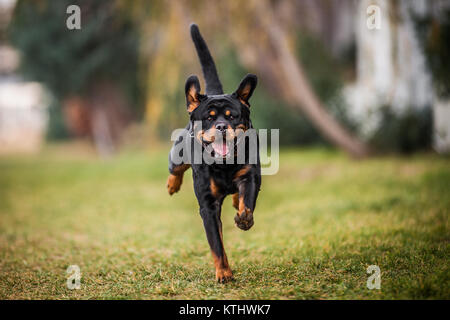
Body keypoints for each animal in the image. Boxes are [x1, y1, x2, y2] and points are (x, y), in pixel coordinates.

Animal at [168, 23, 260, 282]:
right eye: (209, 118)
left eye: (233, 116)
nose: (221, 126)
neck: (223, 165)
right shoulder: (208, 206)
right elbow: (216, 245)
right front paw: (224, 273)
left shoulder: (250, 176)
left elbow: (248, 201)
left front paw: (245, 218)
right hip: (177, 153)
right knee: (175, 168)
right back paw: (172, 184)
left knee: (238, 196)